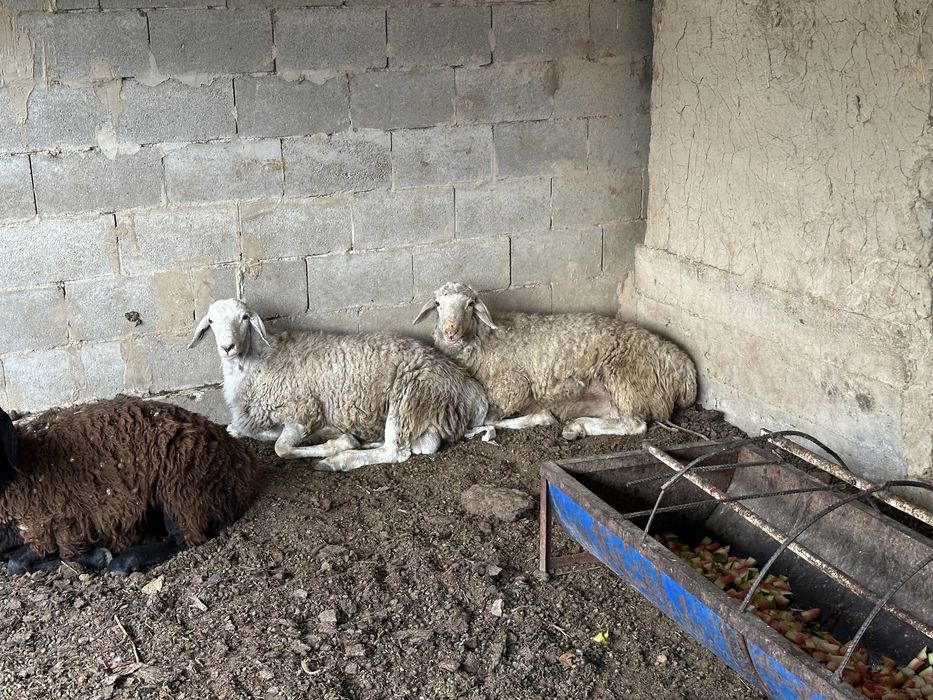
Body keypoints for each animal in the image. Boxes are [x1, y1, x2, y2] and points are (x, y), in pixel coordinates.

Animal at [0, 397, 258, 575]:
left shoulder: (56, 523)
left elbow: (17, 563)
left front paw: (99, 556)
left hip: (179, 483)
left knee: (186, 537)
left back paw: (123, 562)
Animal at [188, 298, 489, 472]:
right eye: (211, 321)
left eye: (244, 318)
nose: (227, 347)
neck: (262, 360)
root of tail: (469, 387)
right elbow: (253, 432)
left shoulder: (303, 412)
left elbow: (281, 449)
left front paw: (337, 445)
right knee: (421, 444)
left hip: (409, 398)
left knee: (395, 451)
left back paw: (339, 461)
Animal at [413, 282, 698, 440]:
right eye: (438, 304)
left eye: (470, 304)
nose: (450, 332)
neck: (484, 339)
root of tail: (685, 369)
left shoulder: (512, 388)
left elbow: (489, 420)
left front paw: (541, 419)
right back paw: (578, 426)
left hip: (628, 382)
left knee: (635, 424)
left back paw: (577, 426)